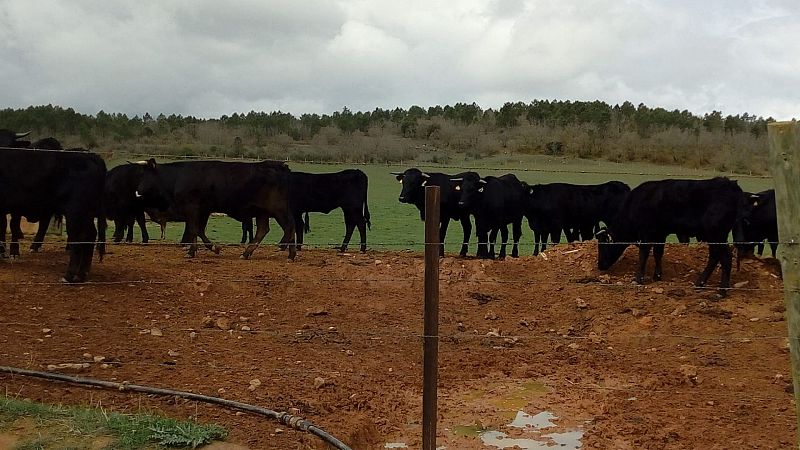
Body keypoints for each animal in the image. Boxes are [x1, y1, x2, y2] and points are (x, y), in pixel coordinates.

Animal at [0, 146, 107, 282]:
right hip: (86, 214)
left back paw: (69, 276)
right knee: (90, 235)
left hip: (75, 212)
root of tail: (90, 155)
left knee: (79, 238)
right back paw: (82, 274)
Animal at [135, 158, 296, 260]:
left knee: (290, 226)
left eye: (146, 175)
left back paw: (287, 251)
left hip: (278, 209)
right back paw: (247, 254)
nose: (137, 190)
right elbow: (199, 230)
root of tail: (278, 165)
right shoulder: (204, 210)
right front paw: (213, 248)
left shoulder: (192, 208)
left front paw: (192, 252)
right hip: (262, 212)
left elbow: (193, 230)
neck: (178, 177)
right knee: (263, 230)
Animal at [596, 177, 746, 294]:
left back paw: (722, 290)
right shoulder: (660, 234)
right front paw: (657, 276)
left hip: (716, 235)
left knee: (725, 257)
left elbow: (643, 255)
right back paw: (700, 283)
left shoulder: (646, 234)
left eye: (602, 246)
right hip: (714, 237)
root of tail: (730, 185)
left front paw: (638, 279)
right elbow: (658, 253)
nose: (600, 265)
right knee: (715, 256)